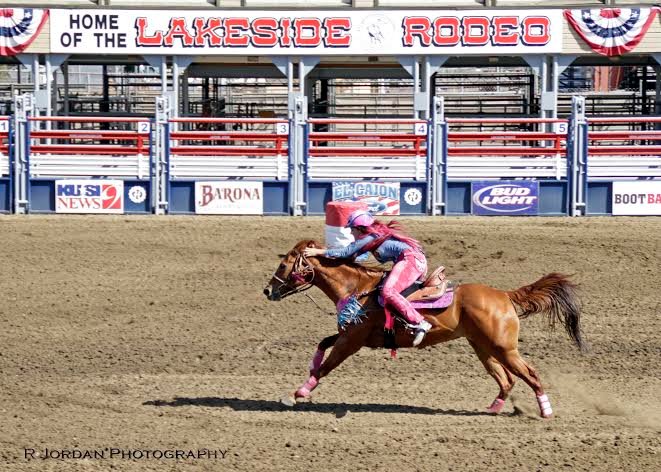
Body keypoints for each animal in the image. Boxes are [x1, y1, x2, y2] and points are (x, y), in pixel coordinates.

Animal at [264, 240, 586, 418]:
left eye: (283, 266)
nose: (267, 291)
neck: (360, 288)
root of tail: (504, 295)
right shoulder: (348, 334)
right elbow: (321, 345)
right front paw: (305, 376)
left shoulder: (351, 342)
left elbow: (325, 368)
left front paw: (296, 394)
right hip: (483, 347)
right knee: (506, 380)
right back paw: (494, 408)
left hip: (504, 348)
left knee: (530, 374)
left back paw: (545, 411)